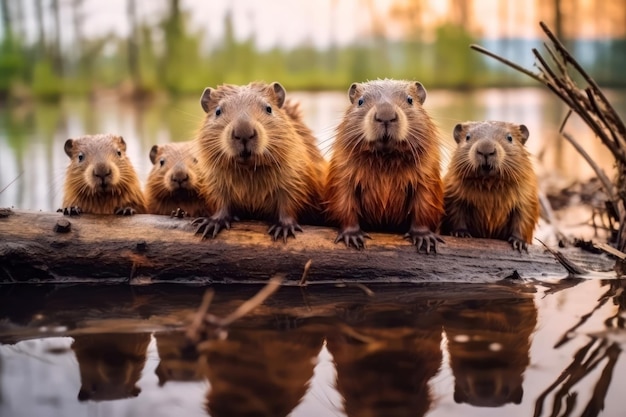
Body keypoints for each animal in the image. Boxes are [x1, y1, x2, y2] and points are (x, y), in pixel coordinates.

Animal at [193, 80, 324, 240]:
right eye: (218, 111)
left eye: (268, 108)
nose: (244, 133)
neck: (249, 171)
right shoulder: (215, 178)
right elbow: (220, 199)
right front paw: (211, 223)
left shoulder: (295, 171)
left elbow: (290, 198)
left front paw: (283, 228)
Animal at [322, 79, 444, 252]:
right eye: (360, 101)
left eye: (410, 100)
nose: (385, 116)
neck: (385, 160)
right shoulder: (342, 171)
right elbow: (344, 201)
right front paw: (353, 237)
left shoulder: (427, 175)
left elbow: (424, 204)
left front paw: (425, 239)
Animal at [436, 120, 540, 250]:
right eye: (467, 137)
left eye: (510, 138)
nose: (486, 150)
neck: (489, 184)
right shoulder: (453, 191)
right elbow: (456, 213)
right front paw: (461, 233)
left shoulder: (526, 196)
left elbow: (523, 217)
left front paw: (518, 243)